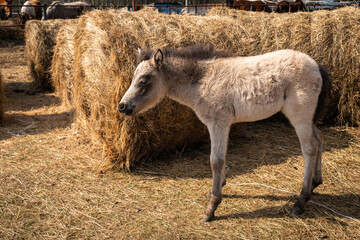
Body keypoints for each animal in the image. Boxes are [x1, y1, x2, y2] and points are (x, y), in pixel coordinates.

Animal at [117, 45, 330, 221]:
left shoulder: (218, 123)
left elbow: (216, 161)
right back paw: (316, 182)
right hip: (307, 117)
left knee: (309, 148)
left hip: (299, 116)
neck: (202, 81)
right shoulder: (222, 125)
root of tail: (316, 66)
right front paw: (218, 188)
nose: (122, 106)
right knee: (319, 138)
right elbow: (223, 157)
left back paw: (301, 200)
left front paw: (212, 207)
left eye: (143, 80)